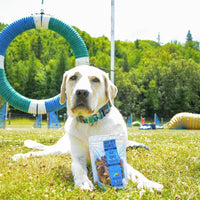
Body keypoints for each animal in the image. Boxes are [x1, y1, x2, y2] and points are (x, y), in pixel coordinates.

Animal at [12, 65, 162, 191]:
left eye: (95, 80)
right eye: (73, 77)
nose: (82, 92)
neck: (90, 122)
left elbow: (136, 173)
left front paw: (149, 183)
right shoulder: (78, 156)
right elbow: (79, 169)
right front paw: (83, 182)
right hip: (60, 149)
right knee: (39, 152)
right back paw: (19, 156)